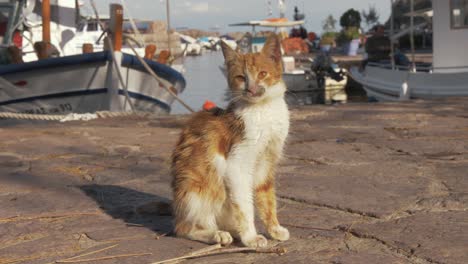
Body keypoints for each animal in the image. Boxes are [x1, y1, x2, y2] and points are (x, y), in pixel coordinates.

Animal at [172, 33, 288, 248]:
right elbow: (245, 205)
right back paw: (217, 234)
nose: (250, 89)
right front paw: (251, 238)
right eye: (241, 77)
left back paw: (233, 231)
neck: (263, 110)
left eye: (262, 74)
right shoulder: (237, 165)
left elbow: (267, 198)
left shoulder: (266, 164)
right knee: (185, 229)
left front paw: (274, 229)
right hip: (197, 189)